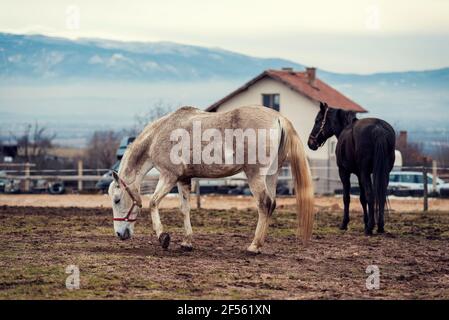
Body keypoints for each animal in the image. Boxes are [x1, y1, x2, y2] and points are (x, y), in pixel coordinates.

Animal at [109, 106, 314, 254]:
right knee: (271, 204)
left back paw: (254, 246)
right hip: (271, 175)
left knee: (264, 204)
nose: (119, 233)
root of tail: (278, 117)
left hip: (255, 175)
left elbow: (153, 203)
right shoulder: (183, 179)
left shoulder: (169, 176)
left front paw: (163, 237)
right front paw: (187, 242)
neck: (159, 134)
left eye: (117, 200)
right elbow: (184, 209)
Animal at [306, 102, 394, 235]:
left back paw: (370, 228)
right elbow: (362, 198)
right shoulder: (359, 175)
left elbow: (347, 197)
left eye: (317, 120)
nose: (310, 143)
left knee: (371, 195)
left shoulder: (345, 172)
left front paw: (344, 224)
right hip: (384, 173)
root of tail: (378, 128)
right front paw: (365, 222)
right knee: (381, 195)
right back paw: (380, 227)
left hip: (365, 173)